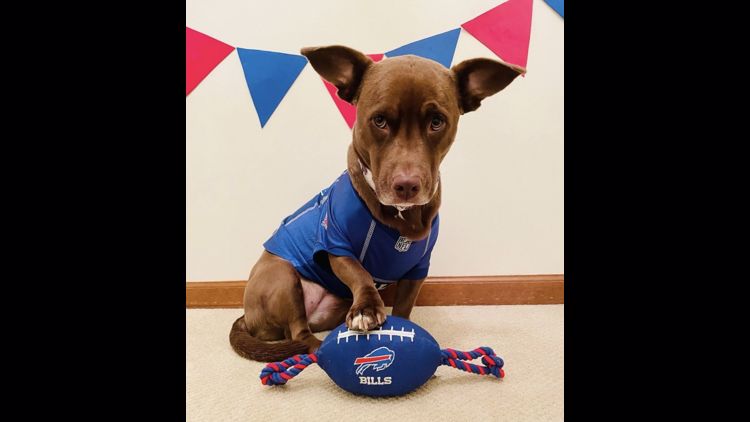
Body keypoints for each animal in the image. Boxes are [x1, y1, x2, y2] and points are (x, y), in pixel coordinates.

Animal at [229, 46, 524, 362]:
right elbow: (361, 274)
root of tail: (247, 317)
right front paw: (367, 309)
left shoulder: (417, 269)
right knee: (298, 333)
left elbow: (405, 306)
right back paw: (320, 350)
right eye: (379, 120)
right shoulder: (336, 245)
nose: (406, 185)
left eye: (437, 122)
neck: (403, 216)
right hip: (281, 275)